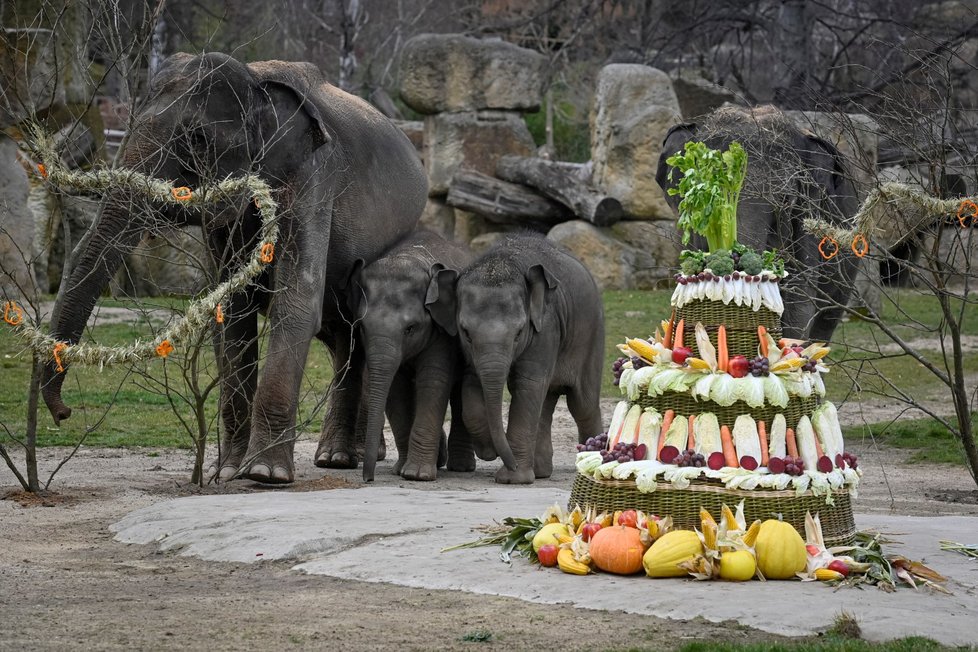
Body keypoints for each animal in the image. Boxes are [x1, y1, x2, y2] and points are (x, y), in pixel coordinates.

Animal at [39, 52, 428, 484]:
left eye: (196, 139)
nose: (63, 414)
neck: (258, 81)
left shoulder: (315, 176)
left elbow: (295, 302)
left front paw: (263, 474)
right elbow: (231, 312)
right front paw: (227, 472)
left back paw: (339, 458)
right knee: (344, 336)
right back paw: (341, 457)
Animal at [346, 228, 474, 478]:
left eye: (410, 328)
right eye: (362, 327)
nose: (368, 479)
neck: (409, 258)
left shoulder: (442, 331)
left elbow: (432, 381)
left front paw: (417, 475)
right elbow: (396, 388)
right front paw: (401, 471)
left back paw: (461, 467)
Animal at [450, 234, 604, 484]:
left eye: (519, 333)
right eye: (466, 333)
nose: (506, 461)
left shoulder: (546, 326)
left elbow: (527, 383)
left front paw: (513, 479)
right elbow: (472, 383)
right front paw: (489, 451)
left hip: (592, 336)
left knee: (583, 404)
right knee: (547, 401)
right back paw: (540, 472)